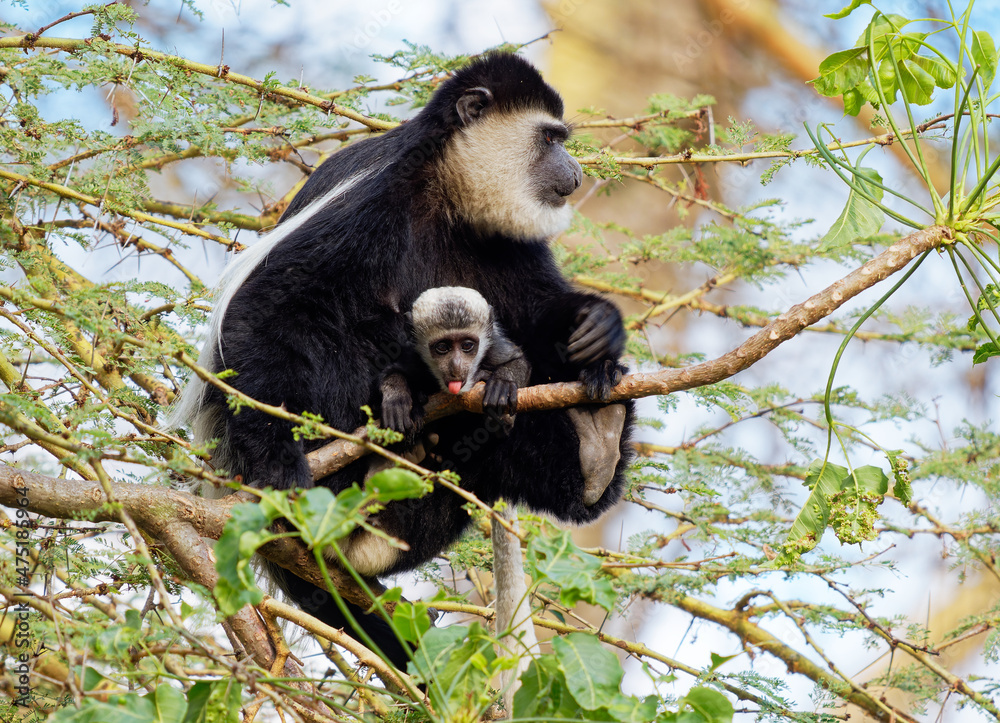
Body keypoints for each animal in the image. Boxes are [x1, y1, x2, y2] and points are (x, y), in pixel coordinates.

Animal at [172, 52, 634, 670]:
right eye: (550, 138)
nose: (575, 172)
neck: (448, 193)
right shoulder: (373, 200)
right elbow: (268, 309)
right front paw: (281, 466)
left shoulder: (508, 241)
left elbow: (536, 316)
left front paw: (599, 325)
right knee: (336, 332)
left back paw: (593, 444)